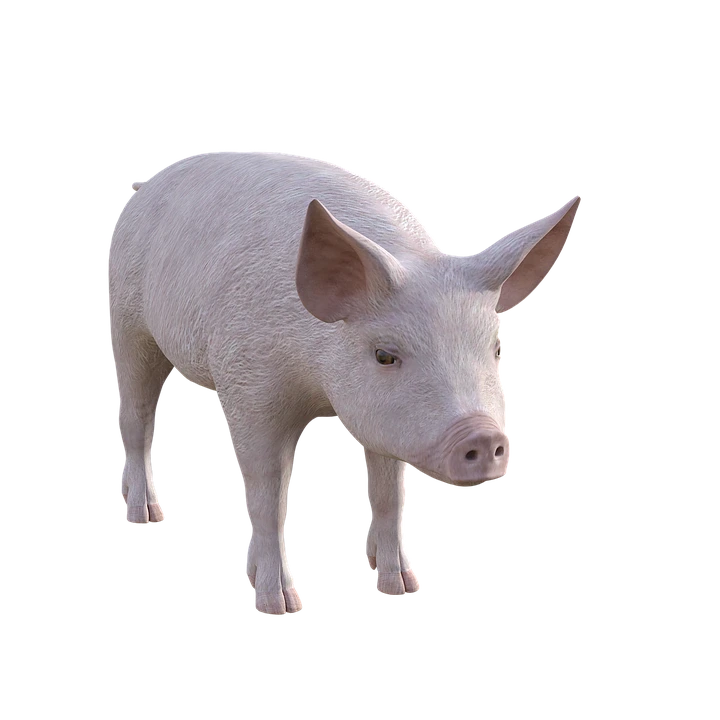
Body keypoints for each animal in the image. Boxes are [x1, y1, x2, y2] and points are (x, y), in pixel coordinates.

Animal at [107, 150, 583, 616]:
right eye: (385, 355)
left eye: (497, 348)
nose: (483, 436)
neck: (317, 386)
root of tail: (145, 189)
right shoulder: (247, 383)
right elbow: (267, 491)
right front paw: (281, 605)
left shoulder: (383, 421)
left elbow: (389, 492)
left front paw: (402, 588)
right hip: (129, 323)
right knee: (136, 415)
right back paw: (147, 515)